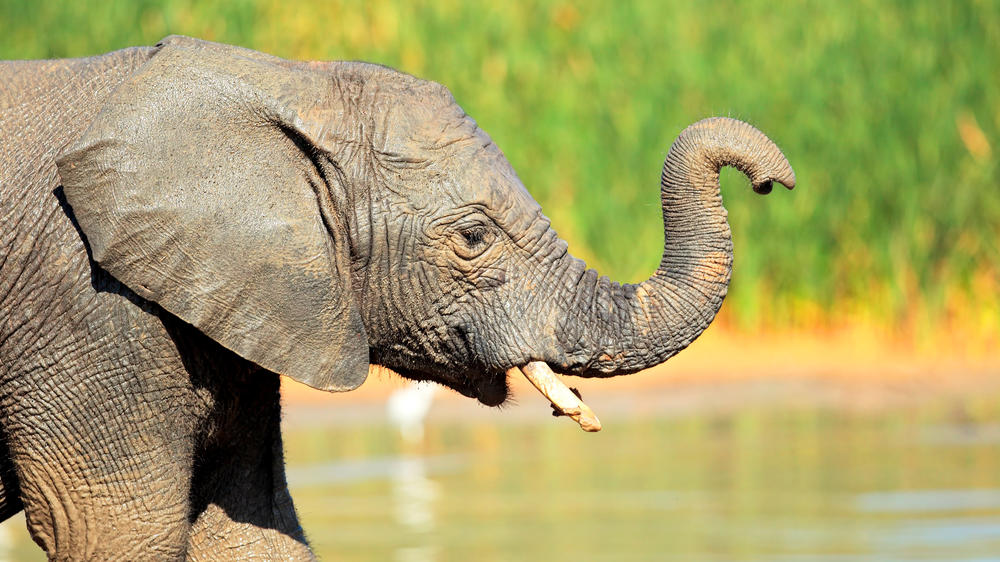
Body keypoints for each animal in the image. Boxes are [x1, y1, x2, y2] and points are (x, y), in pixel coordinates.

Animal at [0, 36, 795, 559]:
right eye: (474, 236)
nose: (773, 180)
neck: (289, 83)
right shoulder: (88, 313)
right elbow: (120, 532)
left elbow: (248, 528)